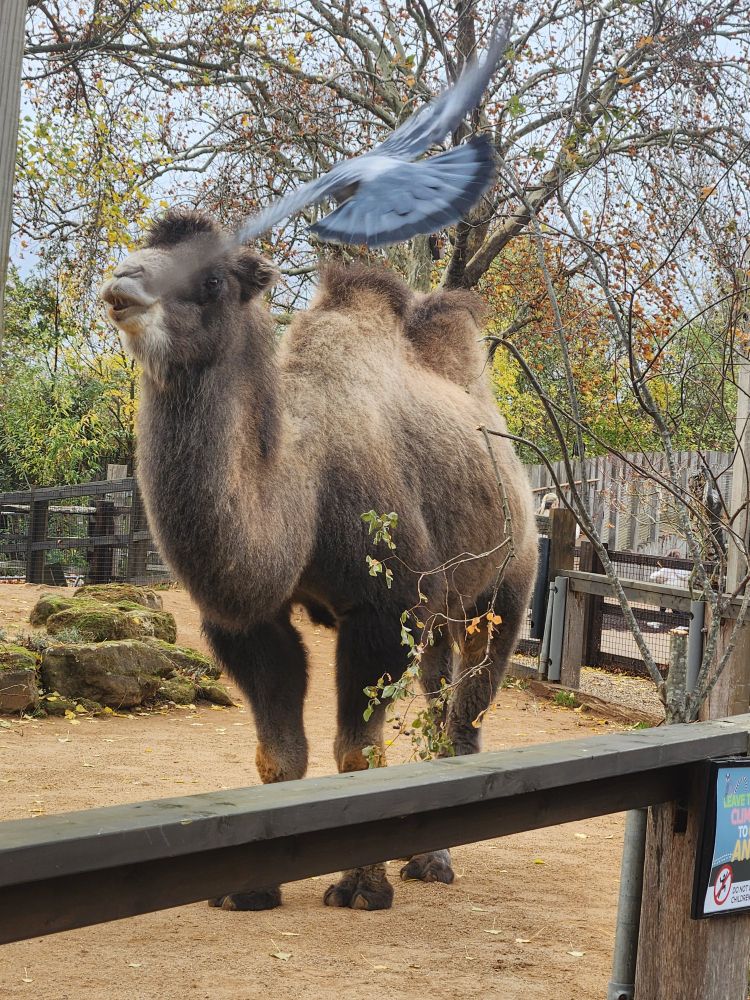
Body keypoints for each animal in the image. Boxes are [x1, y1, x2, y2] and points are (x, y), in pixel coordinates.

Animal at [100, 210, 537, 911]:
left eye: (213, 278)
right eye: (141, 246)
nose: (122, 282)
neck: (302, 489)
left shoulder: (384, 610)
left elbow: (358, 755)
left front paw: (362, 889)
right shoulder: (251, 623)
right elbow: (279, 754)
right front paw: (250, 891)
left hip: (501, 593)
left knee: (462, 719)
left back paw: (433, 864)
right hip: (440, 612)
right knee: (438, 697)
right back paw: (422, 855)